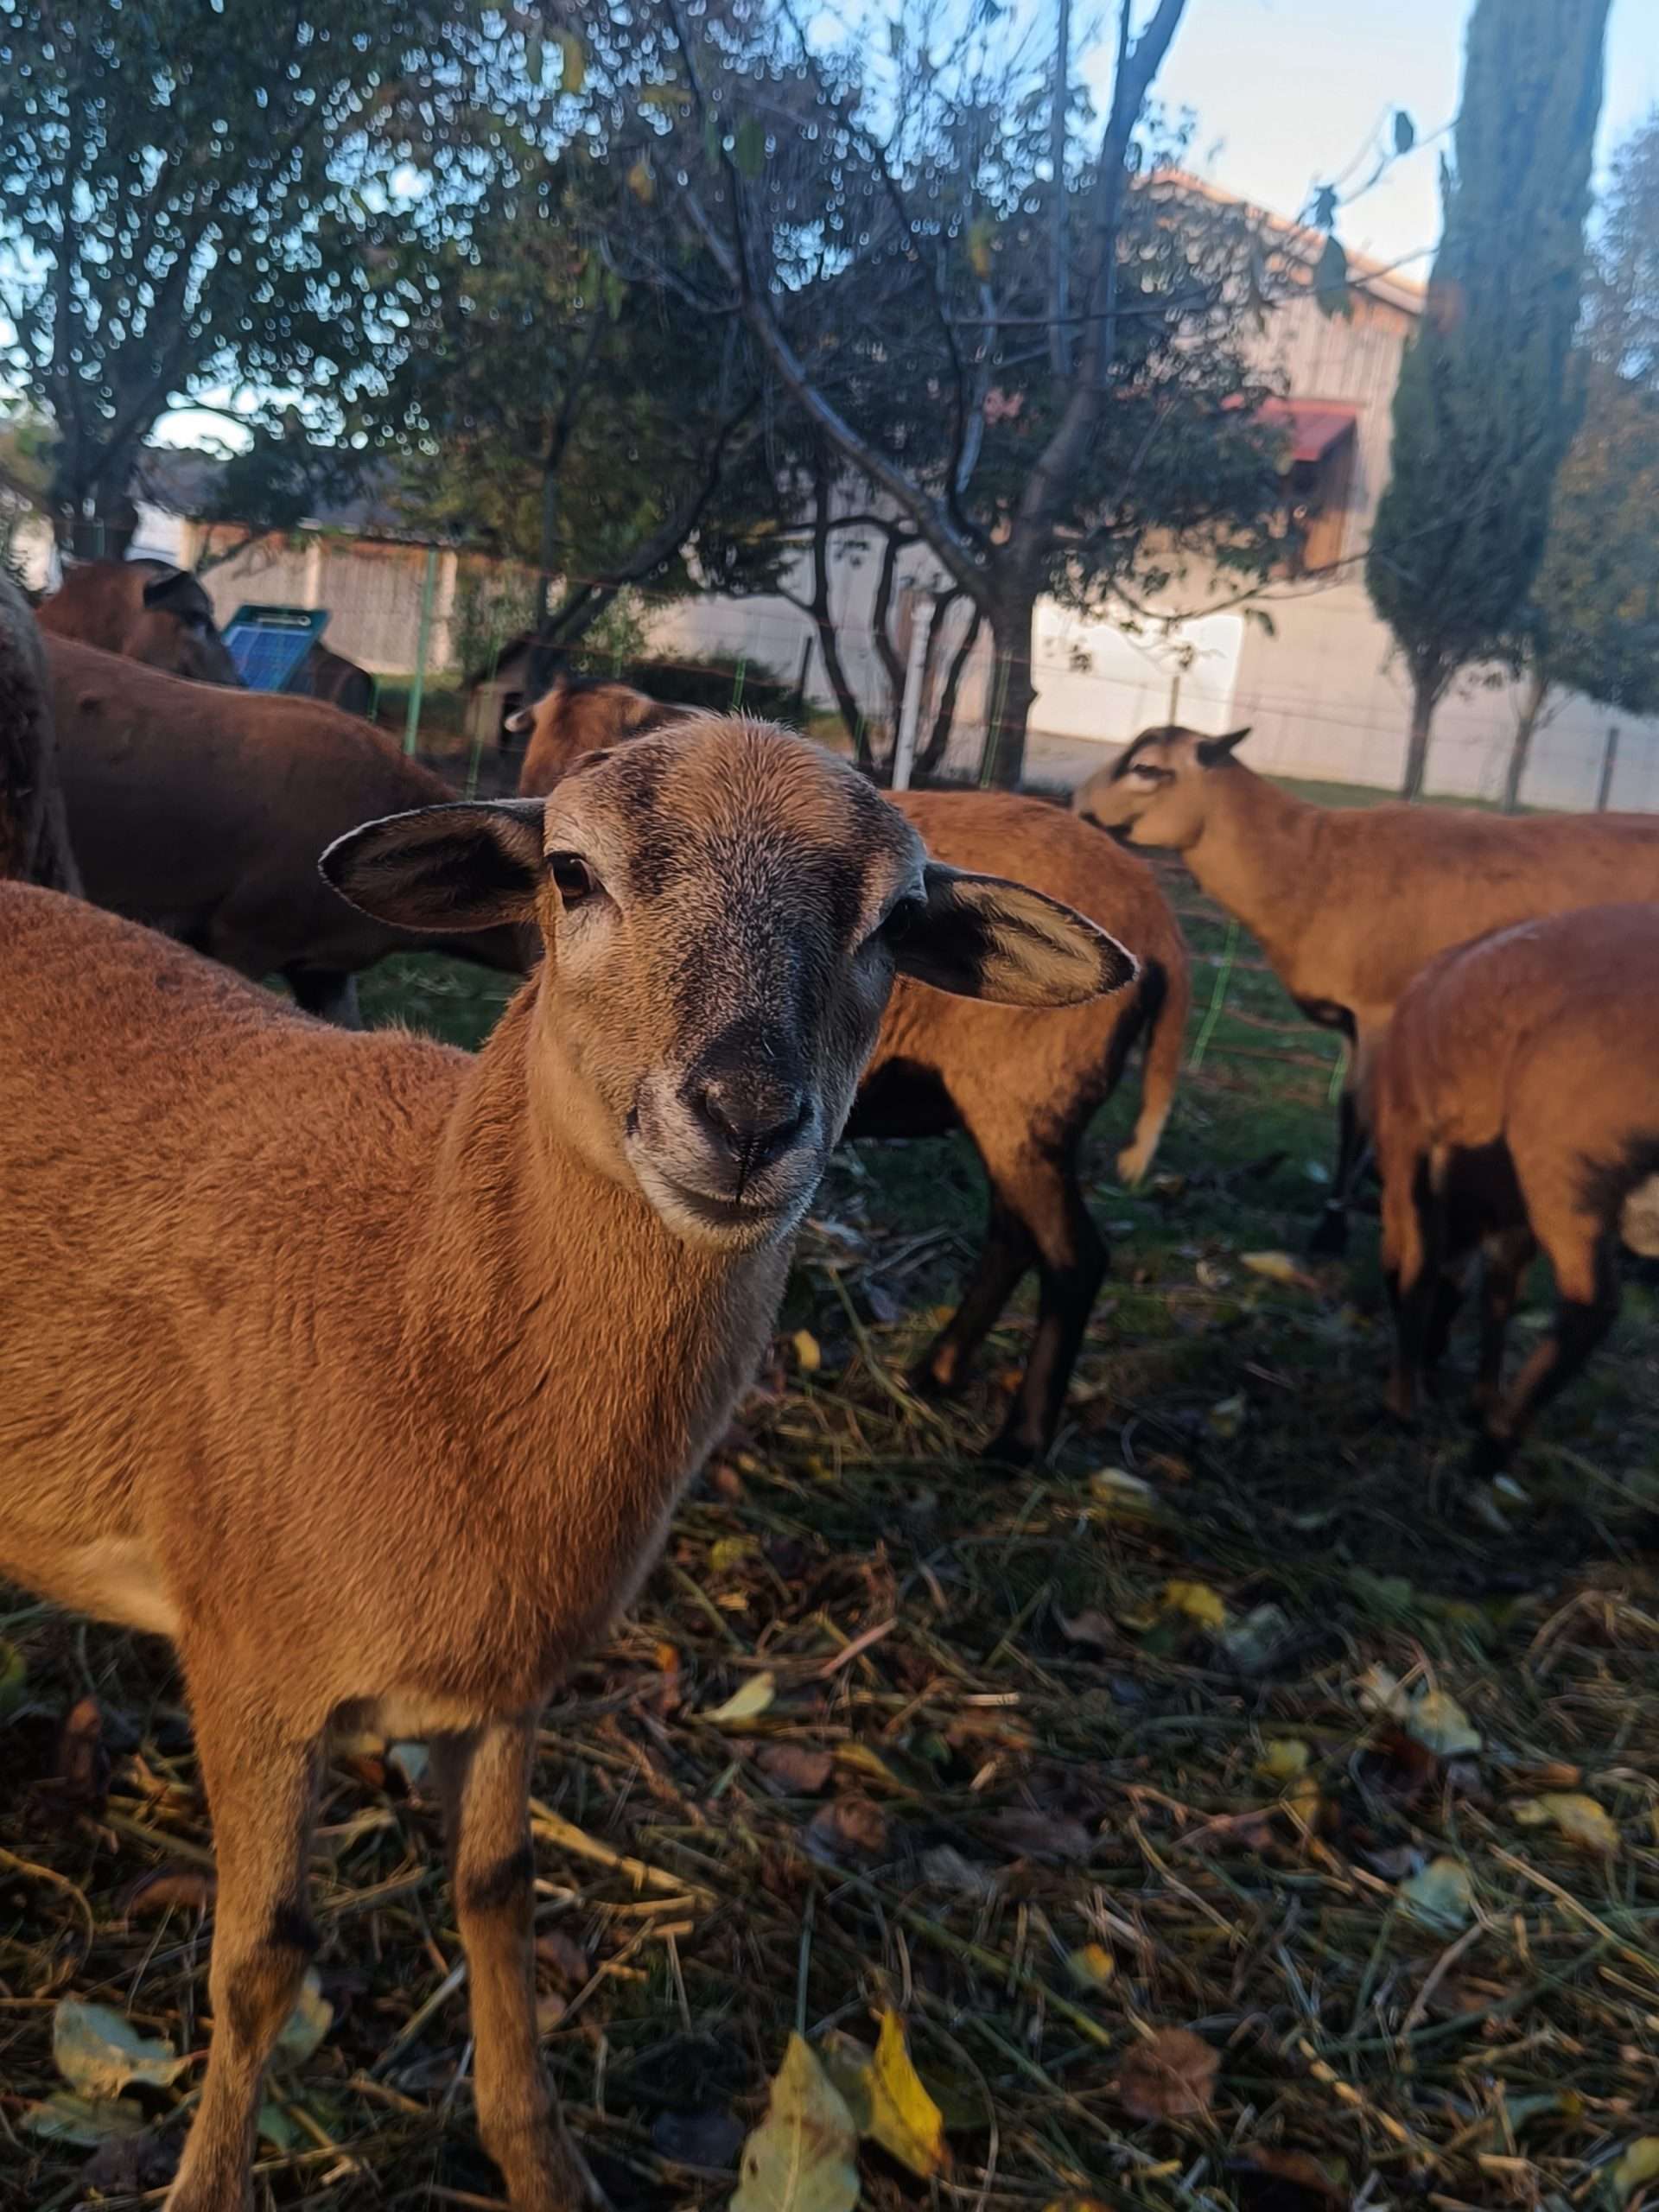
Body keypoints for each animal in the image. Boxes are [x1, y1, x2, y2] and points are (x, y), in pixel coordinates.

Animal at [0, 713, 1131, 2212]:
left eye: (896, 921)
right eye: (572, 874)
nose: (748, 1116)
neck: (413, 1294)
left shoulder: (507, 1679)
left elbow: (503, 1891)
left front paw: (539, 2159)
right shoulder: (248, 1662)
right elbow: (261, 1962)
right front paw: (207, 2188)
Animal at [513, 674, 1191, 1460]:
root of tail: (1158, 923)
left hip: (1030, 1103)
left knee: (1074, 1256)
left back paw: (1018, 1440)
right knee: (1014, 1235)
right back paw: (937, 1372)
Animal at [1075, 726, 1659, 1255]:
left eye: (1147, 768)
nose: (1077, 806)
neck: (1310, 865)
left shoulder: (1381, 1010)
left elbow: (1360, 1116)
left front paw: (1332, 1231)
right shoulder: (1352, 1022)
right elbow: (1349, 1110)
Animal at [1372, 904, 1659, 1478]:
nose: (1435, 1357)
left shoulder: (1411, 1142)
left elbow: (1420, 1265)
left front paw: (1402, 1407)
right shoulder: (1514, 1212)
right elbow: (1499, 1290)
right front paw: (1480, 1397)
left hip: (1566, 1160)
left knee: (1592, 1304)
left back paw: (1492, 1447)